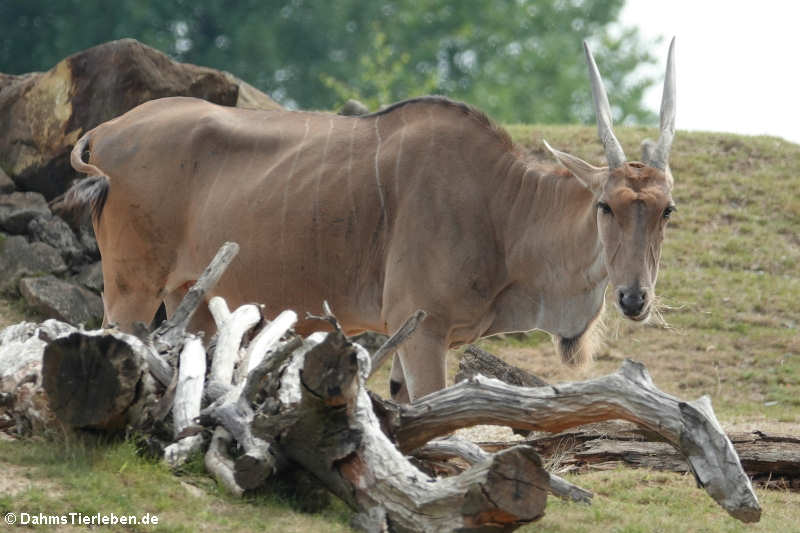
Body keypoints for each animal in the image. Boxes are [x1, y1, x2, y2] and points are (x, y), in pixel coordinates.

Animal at [64, 39, 676, 402]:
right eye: (605, 205)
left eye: (665, 209)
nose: (634, 299)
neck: (503, 206)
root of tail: (106, 131)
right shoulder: (423, 330)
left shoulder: (416, 337)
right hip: (131, 291)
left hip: (190, 302)